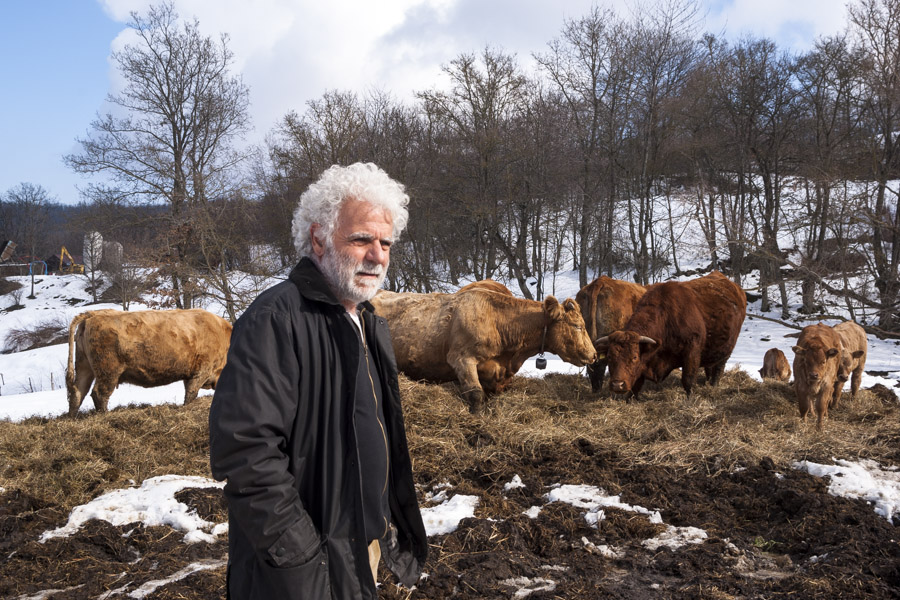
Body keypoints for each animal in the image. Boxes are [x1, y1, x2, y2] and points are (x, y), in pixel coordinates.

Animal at [68, 310, 234, 418]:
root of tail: (94, 313)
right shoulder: (201, 371)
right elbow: (190, 395)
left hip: (84, 366)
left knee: (77, 392)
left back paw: (72, 418)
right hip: (108, 371)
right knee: (99, 393)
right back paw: (104, 416)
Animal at [596, 272, 744, 398]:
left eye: (634, 357)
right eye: (609, 356)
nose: (617, 384)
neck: (666, 318)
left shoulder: (692, 352)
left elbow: (688, 380)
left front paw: (689, 400)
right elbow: (636, 384)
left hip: (726, 350)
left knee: (719, 368)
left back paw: (714, 385)